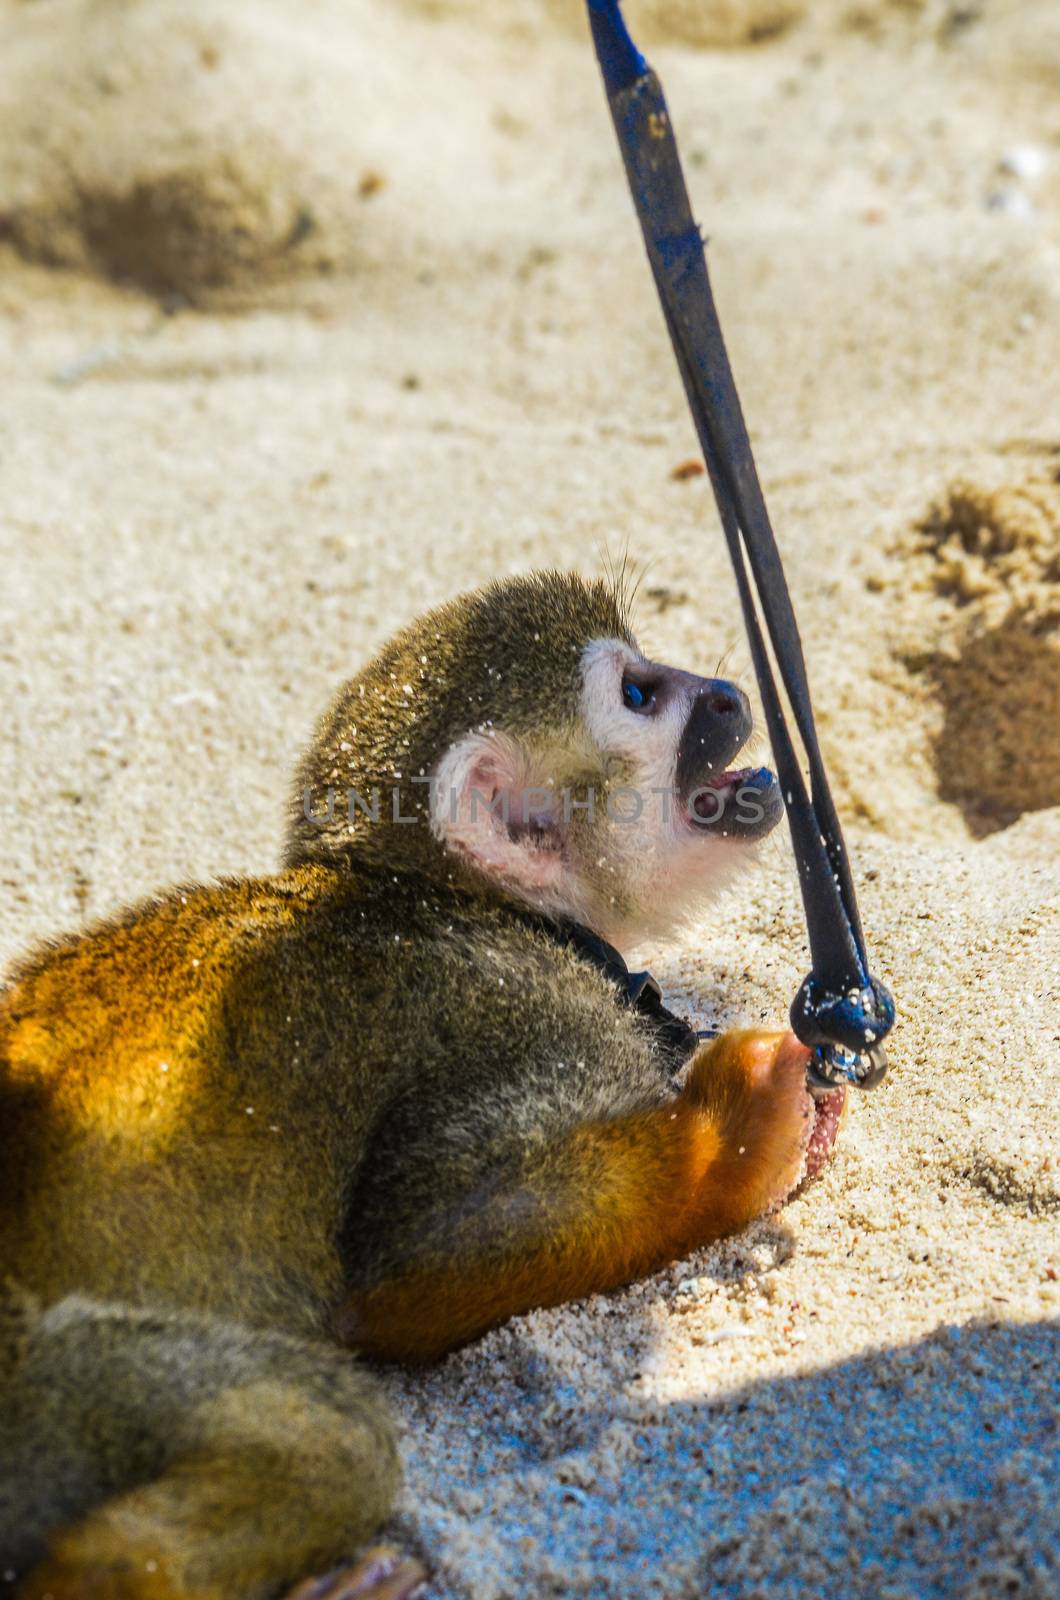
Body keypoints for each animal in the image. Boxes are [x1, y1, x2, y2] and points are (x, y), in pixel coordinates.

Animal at [0, 576, 845, 1600]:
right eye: (641, 696)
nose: (724, 693)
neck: (484, 906)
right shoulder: (524, 1006)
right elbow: (410, 1259)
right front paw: (740, 1140)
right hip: (33, 1386)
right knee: (331, 1437)